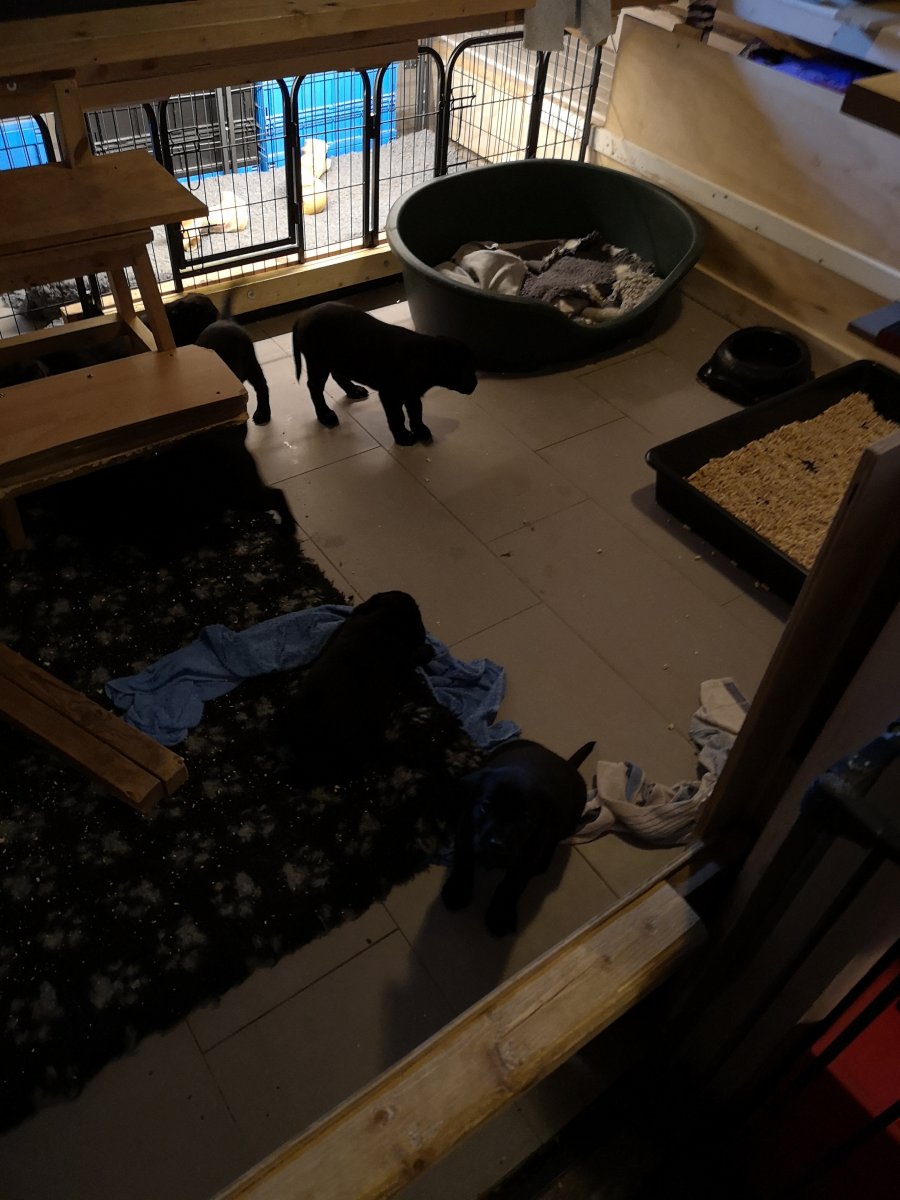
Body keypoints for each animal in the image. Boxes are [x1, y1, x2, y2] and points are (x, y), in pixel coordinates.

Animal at [291, 301, 478, 445]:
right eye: (464, 368)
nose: (475, 384)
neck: (422, 356)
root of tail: (302, 316)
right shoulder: (390, 395)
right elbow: (397, 416)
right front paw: (403, 437)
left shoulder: (411, 394)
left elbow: (416, 412)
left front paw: (420, 430)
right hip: (318, 363)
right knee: (314, 387)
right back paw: (325, 415)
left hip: (339, 360)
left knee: (338, 375)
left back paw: (353, 391)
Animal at [442, 738, 596, 937]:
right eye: (485, 807)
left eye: (525, 818)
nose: (496, 845)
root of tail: (567, 764)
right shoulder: (465, 832)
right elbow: (463, 862)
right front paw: (457, 891)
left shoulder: (527, 858)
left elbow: (510, 886)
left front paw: (500, 916)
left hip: (568, 820)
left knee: (554, 840)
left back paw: (543, 862)